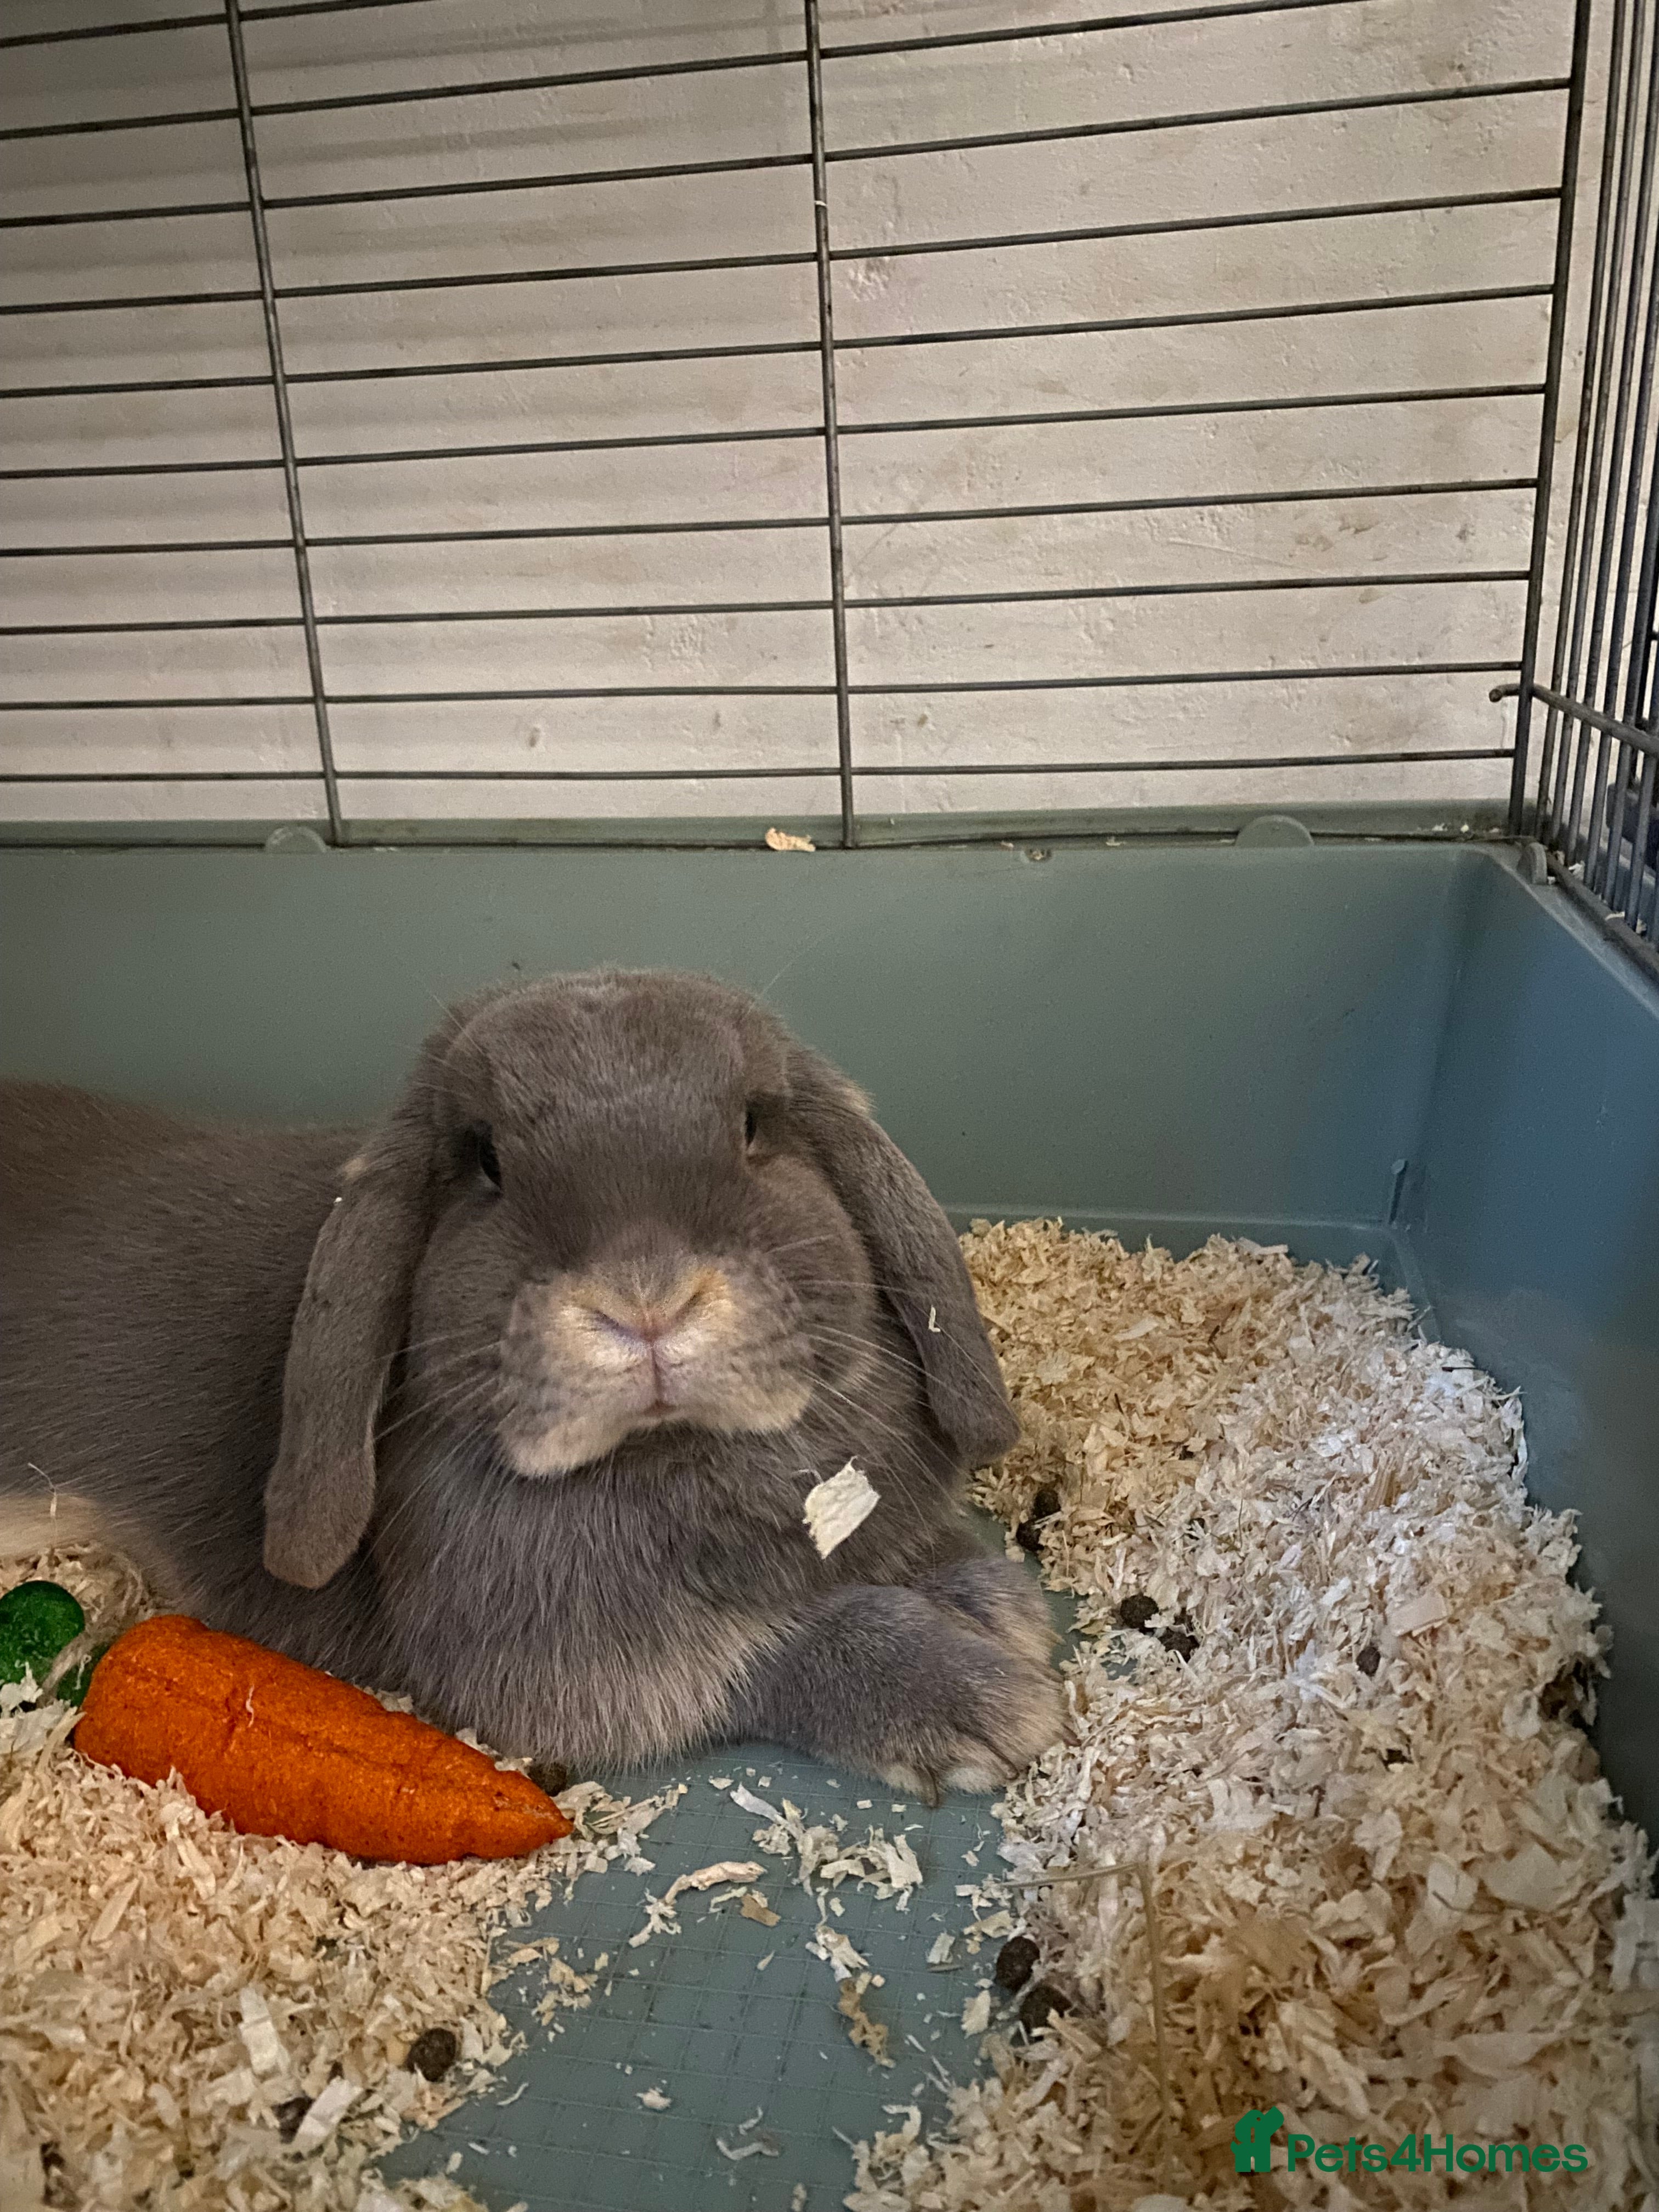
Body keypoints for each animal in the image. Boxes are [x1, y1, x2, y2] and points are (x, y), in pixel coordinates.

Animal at [0, 970, 1064, 1798]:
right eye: (484, 1162)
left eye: (755, 1126)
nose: (646, 1299)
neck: (676, 1454)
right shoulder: (568, 1668)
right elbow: (770, 1648)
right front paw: (982, 1698)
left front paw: (990, 1599)